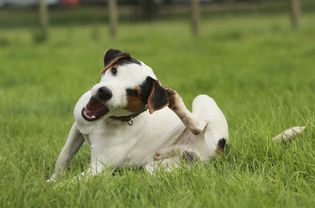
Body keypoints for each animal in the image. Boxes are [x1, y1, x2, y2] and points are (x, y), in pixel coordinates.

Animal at [47, 48, 230, 182]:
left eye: (133, 92)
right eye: (114, 70)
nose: (104, 92)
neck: (105, 121)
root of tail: (221, 151)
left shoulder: (98, 169)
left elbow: (69, 183)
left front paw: (51, 187)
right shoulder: (78, 127)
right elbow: (64, 156)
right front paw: (54, 178)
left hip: (204, 100)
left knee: (198, 126)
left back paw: (175, 100)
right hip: (158, 166)